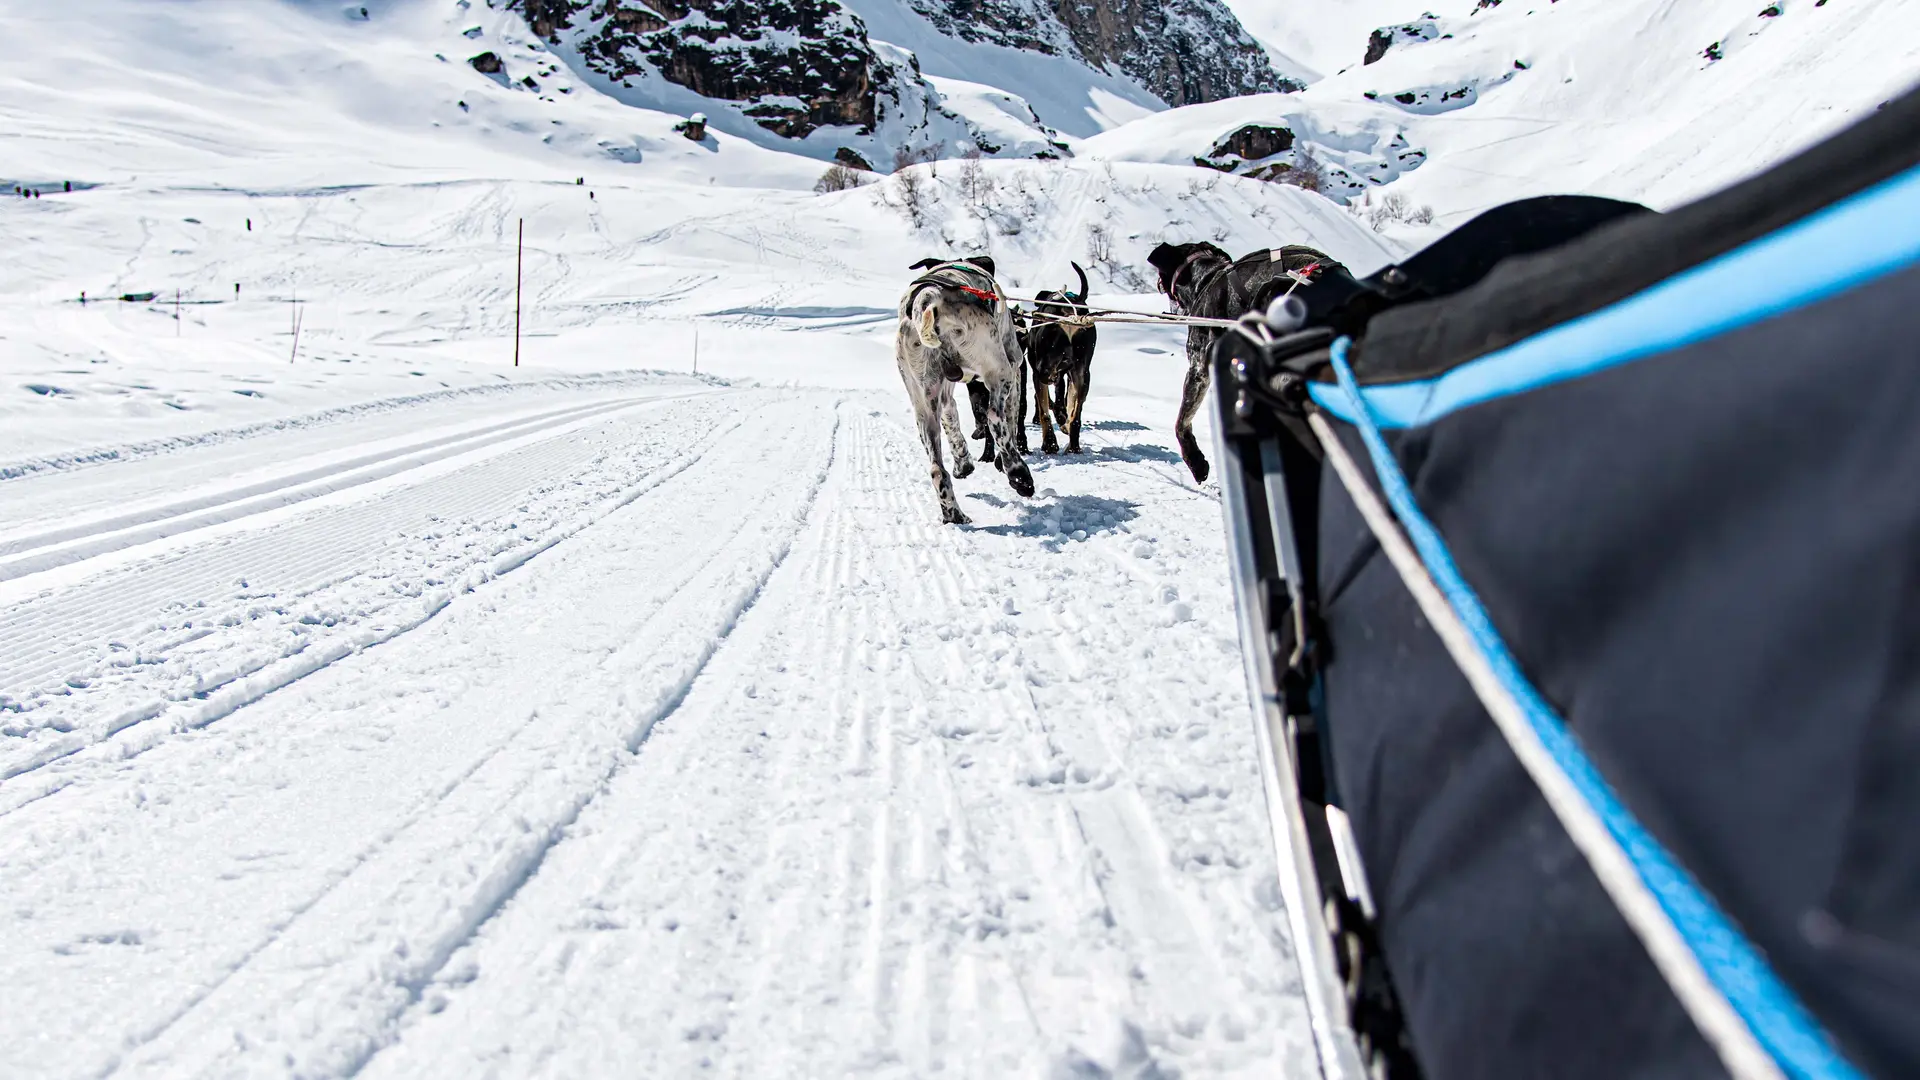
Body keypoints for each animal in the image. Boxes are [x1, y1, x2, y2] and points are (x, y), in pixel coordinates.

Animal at [898, 251, 1036, 522]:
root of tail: (929, 299)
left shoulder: (944, 397)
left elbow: (952, 422)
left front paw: (963, 463)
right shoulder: (1014, 370)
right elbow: (1011, 422)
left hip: (923, 403)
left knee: (936, 469)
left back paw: (954, 512)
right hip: (998, 370)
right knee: (994, 416)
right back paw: (1018, 474)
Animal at [1021, 263, 1098, 451]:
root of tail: (1067, 313)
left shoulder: (1043, 372)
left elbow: (1046, 404)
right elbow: (1066, 400)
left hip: (1044, 370)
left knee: (1046, 410)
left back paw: (1050, 441)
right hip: (1082, 373)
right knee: (1076, 414)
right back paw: (1072, 443)